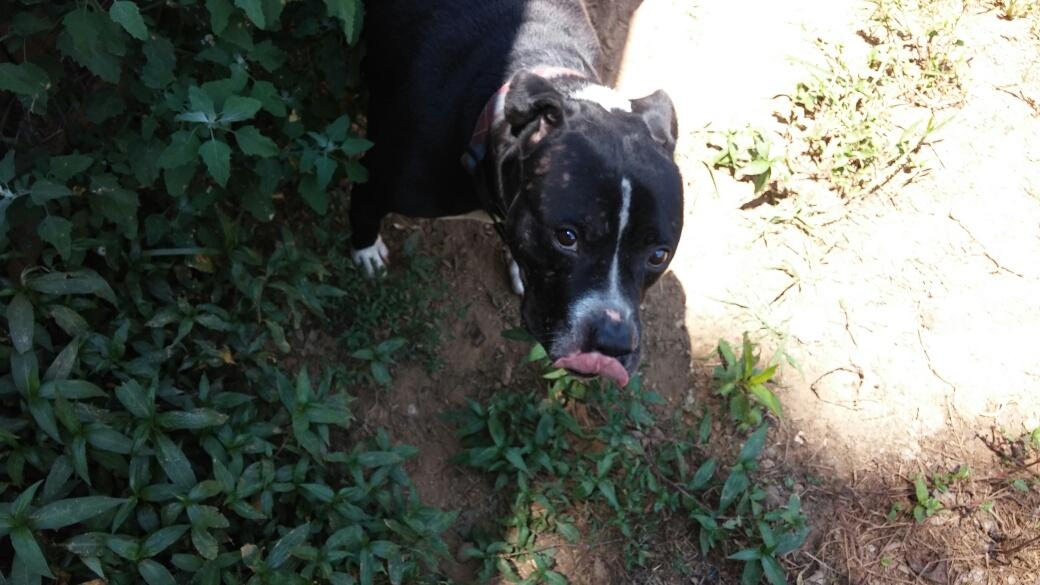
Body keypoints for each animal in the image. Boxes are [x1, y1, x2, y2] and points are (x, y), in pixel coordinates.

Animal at [353, 1, 686, 387]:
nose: (612, 341)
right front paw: (366, 253)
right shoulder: (376, 180)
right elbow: (363, 209)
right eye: (566, 237)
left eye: (658, 255)